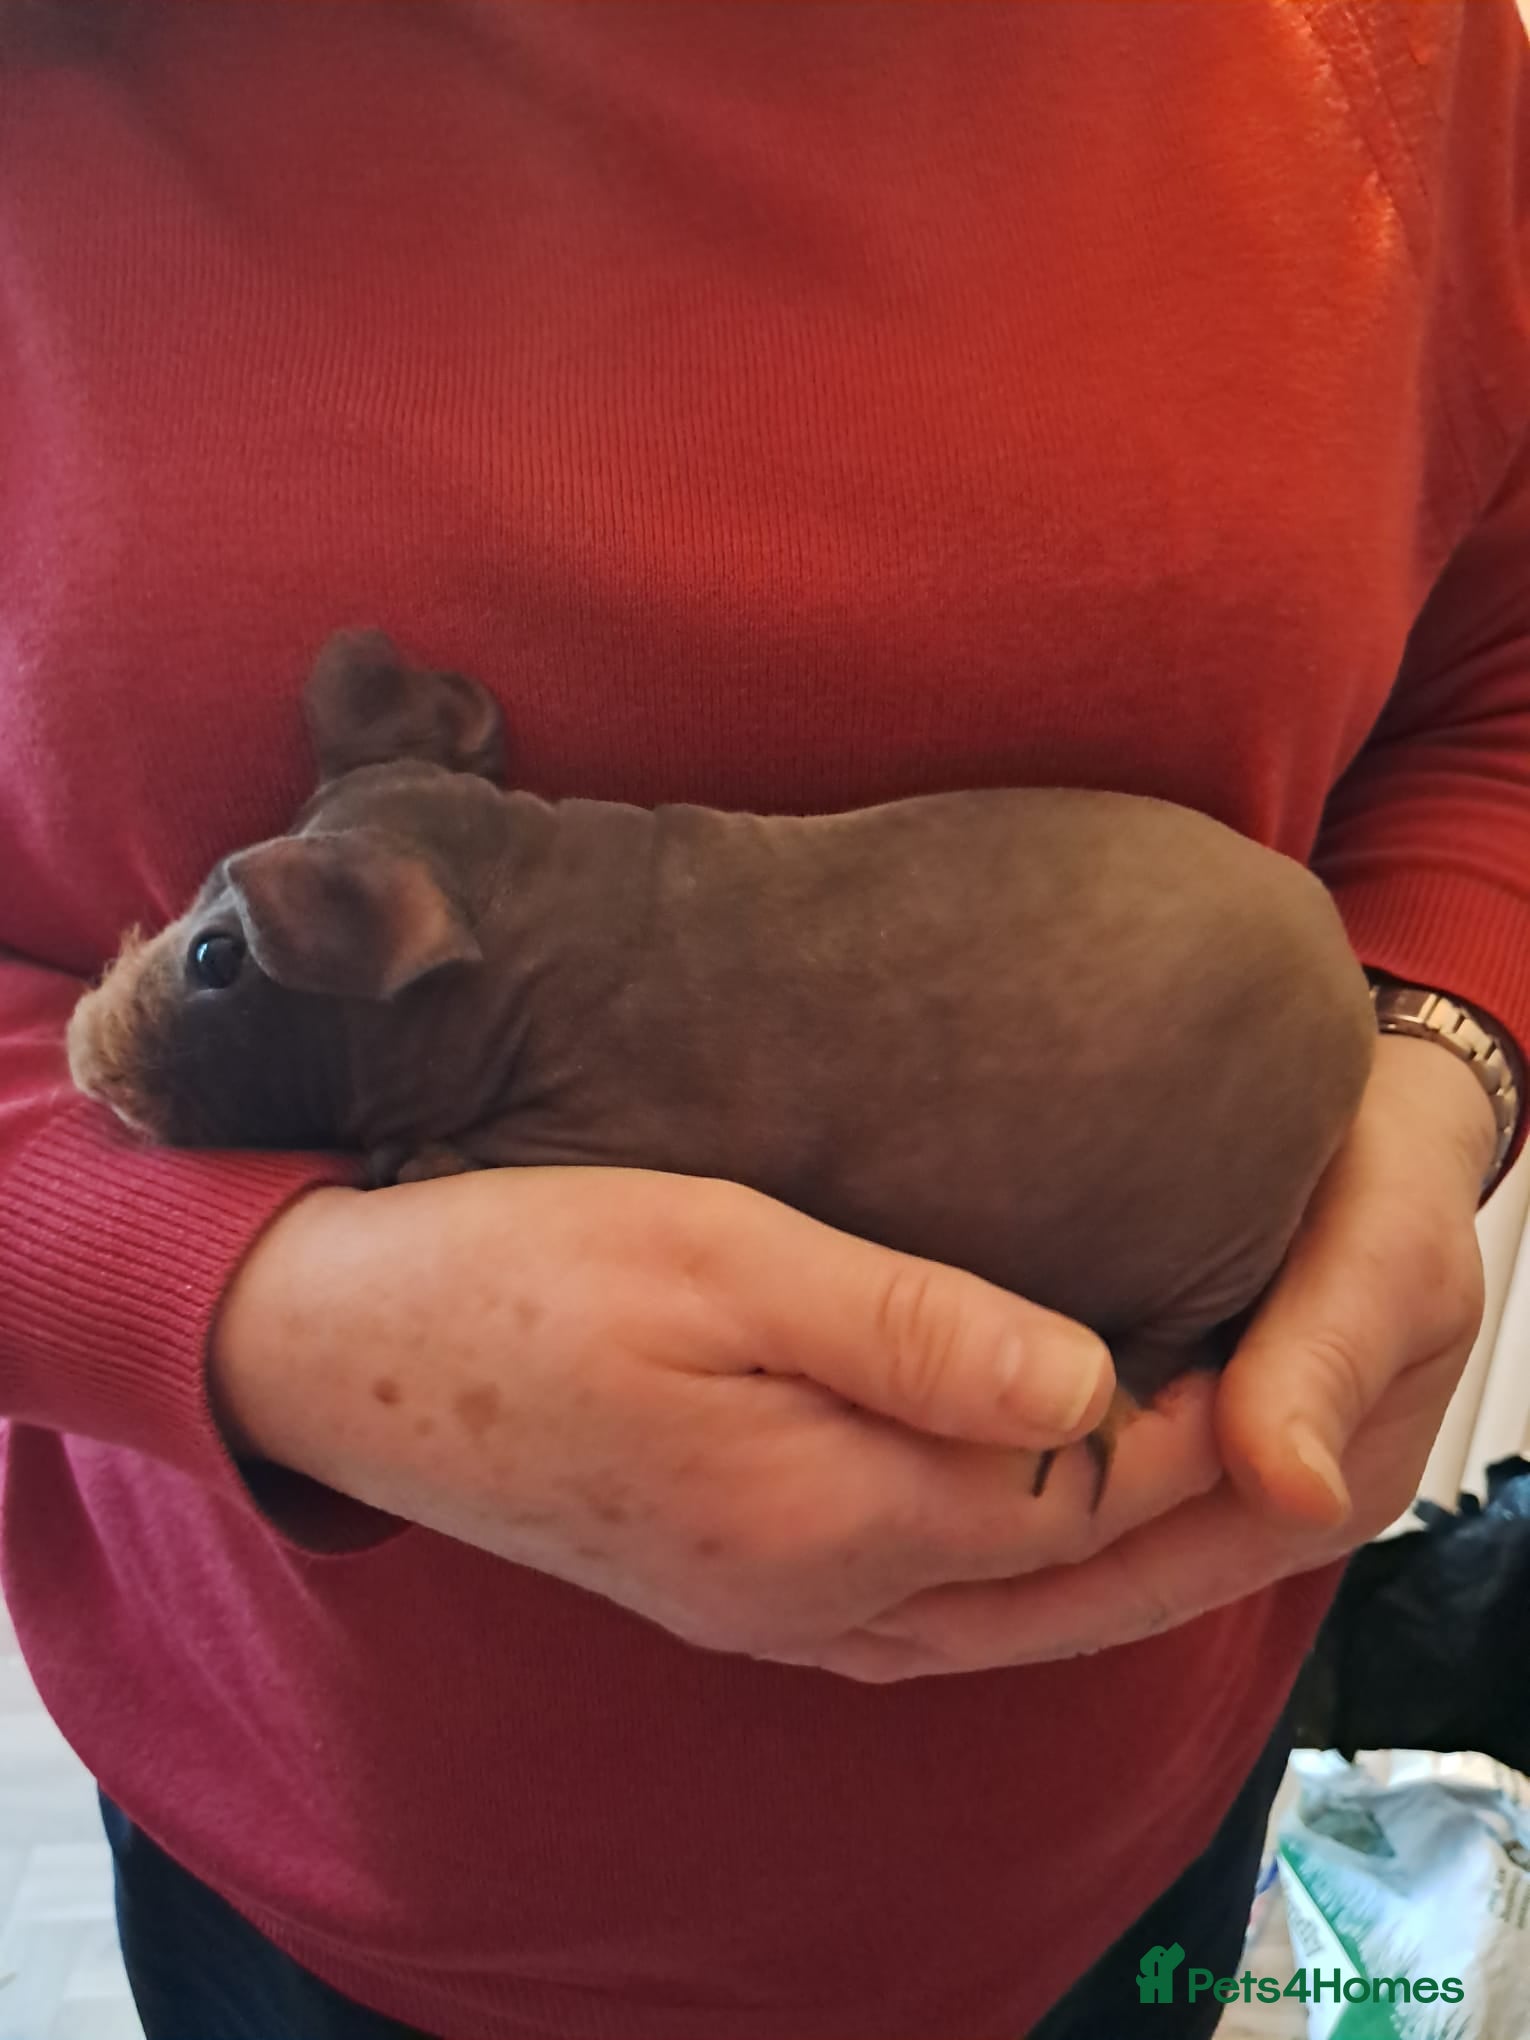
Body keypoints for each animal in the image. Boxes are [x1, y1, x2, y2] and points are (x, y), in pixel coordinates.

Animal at [67, 630, 1377, 1496]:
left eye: (218, 955)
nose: (85, 1047)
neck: (525, 918)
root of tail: (1348, 1003)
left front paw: (406, 1156)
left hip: (1217, 1257)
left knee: (1168, 1346)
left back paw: (1091, 1426)